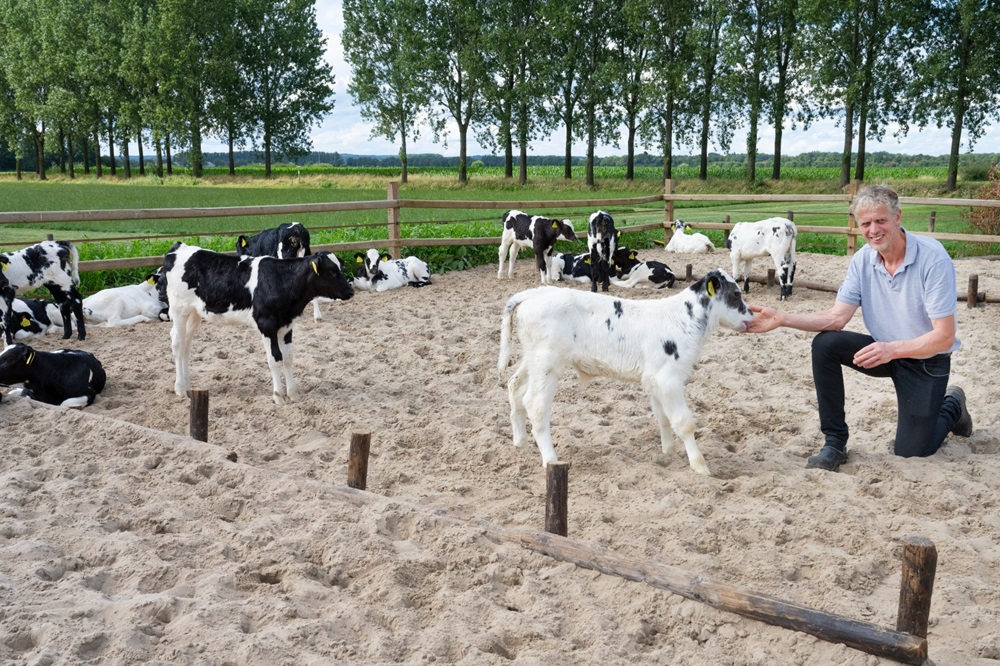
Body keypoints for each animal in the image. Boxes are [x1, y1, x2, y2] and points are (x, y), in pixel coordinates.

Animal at [162, 241, 354, 402]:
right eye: (333, 272)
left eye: (340, 269)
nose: (351, 291)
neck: (281, 280)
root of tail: (179, 247)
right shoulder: (266, 325)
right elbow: (275, 359)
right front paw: (278, 396)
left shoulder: (287, 325)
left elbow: (288, 358)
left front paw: (293, 394)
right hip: (179, 310)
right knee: (177, 343)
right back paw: (180, 388)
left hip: (195, 313)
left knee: (186, 344)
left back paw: (188, 386)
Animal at [496, 268, 752, 474]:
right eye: (736, 294)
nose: (751, 315)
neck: (681, 319)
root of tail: (534, 294)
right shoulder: (668, 379)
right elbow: (684, 422)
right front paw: (700, 466)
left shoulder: (654, 380)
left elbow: (663, 418)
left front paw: (668, 453)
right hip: (547, 363)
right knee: (535, 404)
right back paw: (550, 459)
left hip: (532, 359)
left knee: (514, 386)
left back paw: (520, 443)